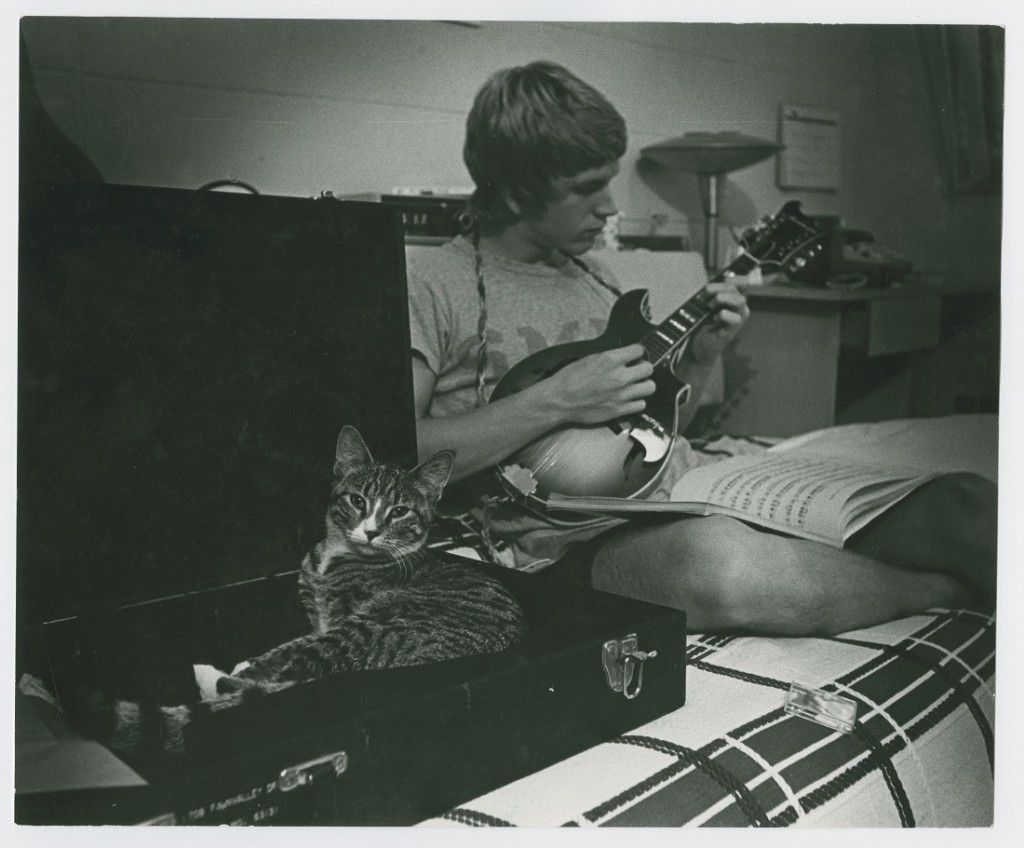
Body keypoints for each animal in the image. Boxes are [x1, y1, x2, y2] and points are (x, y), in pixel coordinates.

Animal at [55, 428, 524, 757]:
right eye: (357, 500)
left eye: (400, 511)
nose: (371, 531)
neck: (335, 557)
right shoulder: (315, 613)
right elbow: (292, 642)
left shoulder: (338, 618)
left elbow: (293, 652)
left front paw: (244, 670)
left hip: (378, 624)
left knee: (290, 670)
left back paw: (219, 679)